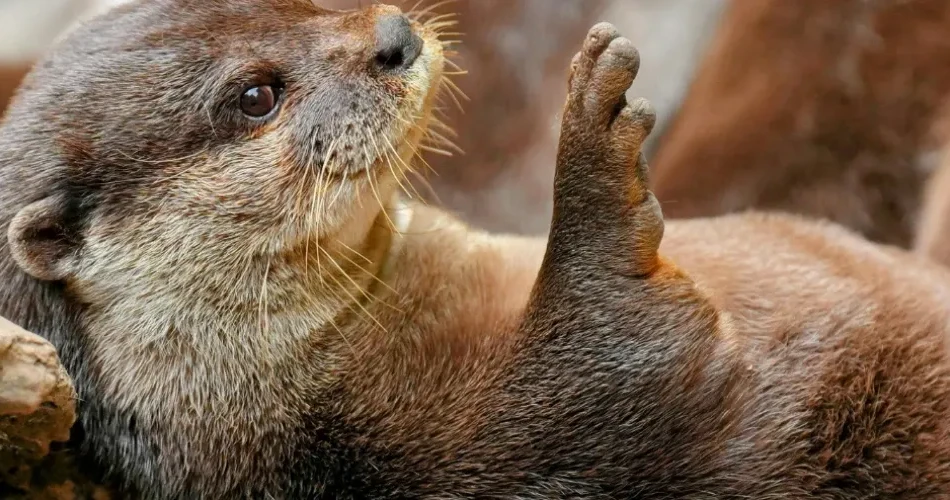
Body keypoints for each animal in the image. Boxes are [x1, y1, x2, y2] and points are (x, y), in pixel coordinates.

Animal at [3, 1, 950, 499]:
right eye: (255, 95)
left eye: (298, 4)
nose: (393, 33)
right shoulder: (452, 453)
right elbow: (619, 361)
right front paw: (594, 140)